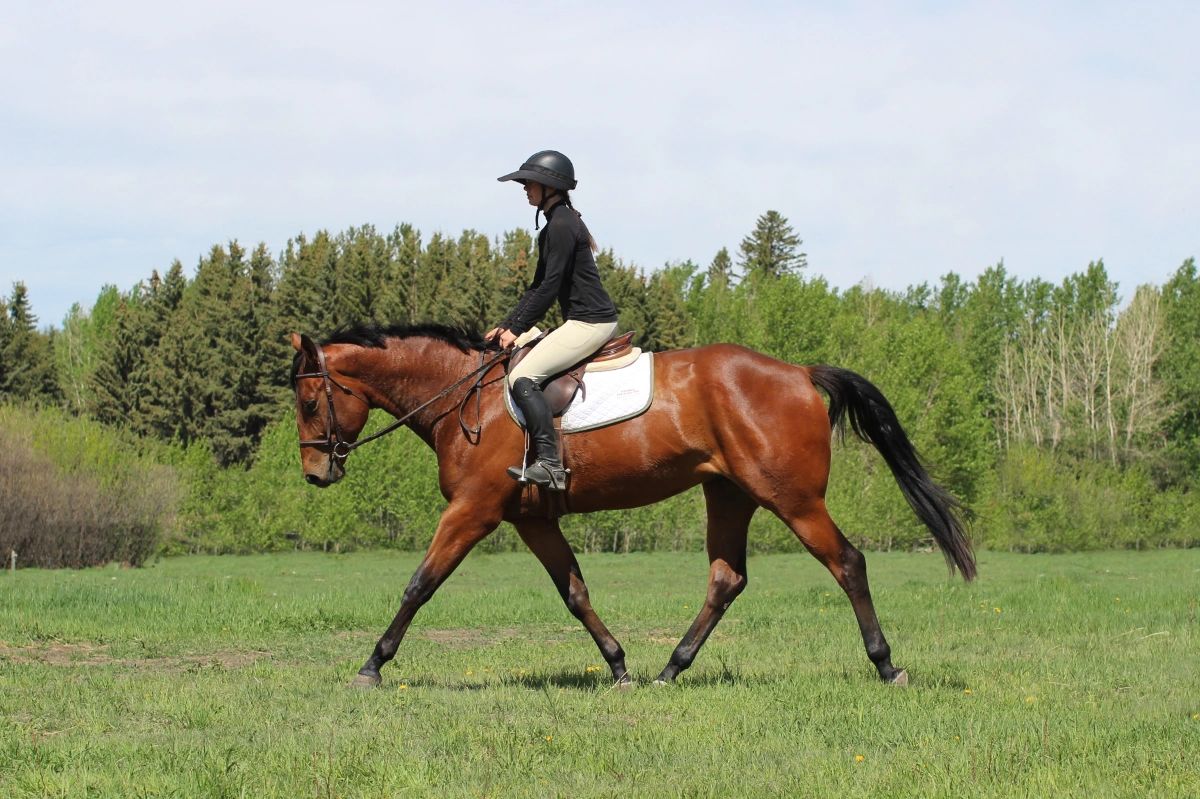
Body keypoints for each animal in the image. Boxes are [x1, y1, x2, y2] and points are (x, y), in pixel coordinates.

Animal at [289, 322, 975, 689]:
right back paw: (670, 669)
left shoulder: (474, 511)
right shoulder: (531, 519)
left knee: (847, 563)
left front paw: (372, 665)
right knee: (726, 579)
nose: (316, 473)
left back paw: (886, 665)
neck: (469, 399)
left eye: (308, 402)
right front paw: (618, 666)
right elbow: (574, 593)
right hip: (729, 494)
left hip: (792, 498)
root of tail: (800, 373)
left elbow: (419, 584)